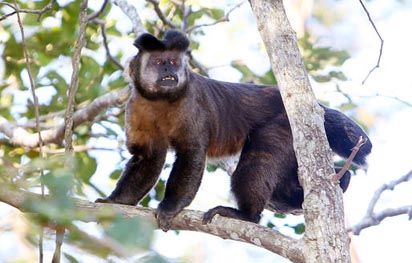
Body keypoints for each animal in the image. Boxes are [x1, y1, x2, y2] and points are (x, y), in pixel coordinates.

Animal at [95, 31, 372, 232]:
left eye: (173, 62)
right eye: (158, 62)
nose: (168, 72)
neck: (161, 100)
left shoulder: (191, 103)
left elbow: (192, 154)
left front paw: (170, 208)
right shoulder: (136, 105)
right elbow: (148, 157)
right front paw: (116, 202)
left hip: (284, 125)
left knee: (256, 163)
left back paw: (247, 216)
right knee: (281, 189)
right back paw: (339, 179)